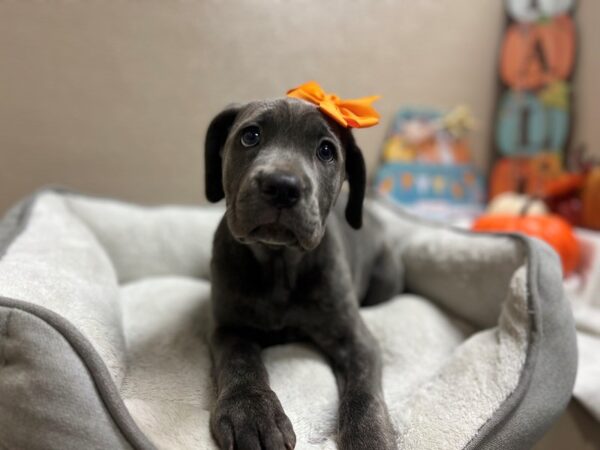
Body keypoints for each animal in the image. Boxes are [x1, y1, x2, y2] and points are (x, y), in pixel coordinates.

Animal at [206, 96, 404, 448]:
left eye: (326, 151)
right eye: (250, 136)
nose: (282, 186)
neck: (279, 264)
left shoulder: (356, 339)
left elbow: (364, 393)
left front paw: (370, 438)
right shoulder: (228, 328)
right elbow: (239, 361)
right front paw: (252, 414)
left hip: (386, 280)